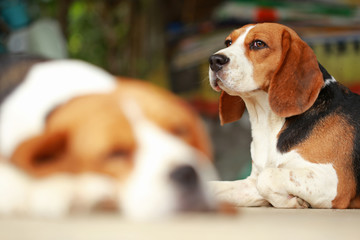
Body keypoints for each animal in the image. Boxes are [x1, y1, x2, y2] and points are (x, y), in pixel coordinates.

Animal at [208, 23, 360, 209]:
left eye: (258, 44)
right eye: (228, 42)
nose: (214, 60)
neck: (268, 123)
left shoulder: (333, 181)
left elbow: (267, 177)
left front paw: (295, 202)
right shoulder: (251, 180)